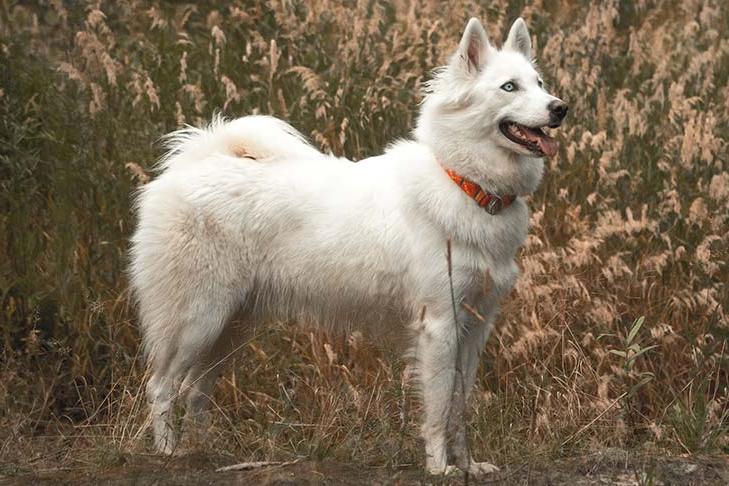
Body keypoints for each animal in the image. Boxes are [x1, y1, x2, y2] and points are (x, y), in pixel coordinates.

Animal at [129, 17, 564, 476]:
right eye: (509, 87)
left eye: (539, 83)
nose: (560, 108)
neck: (464, 182)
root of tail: (192, 164)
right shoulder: (440, 325)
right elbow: (440, 405)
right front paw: (440, 467)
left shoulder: (475, 327)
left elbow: (460, 406)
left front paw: (468, 466)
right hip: (196, 321)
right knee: (161, 386)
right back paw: (168, 453)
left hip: (229, 328)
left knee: (195, 391)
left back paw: (207, 452)